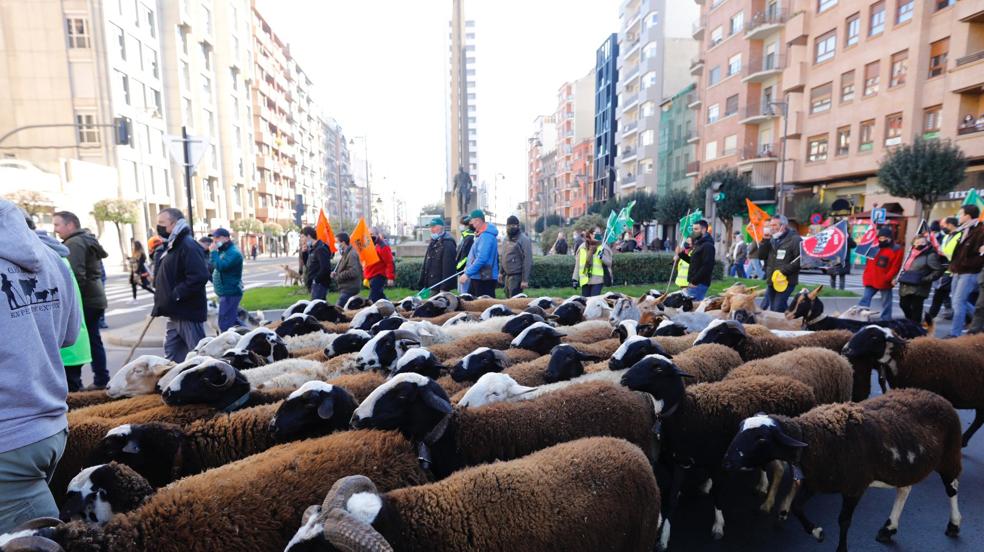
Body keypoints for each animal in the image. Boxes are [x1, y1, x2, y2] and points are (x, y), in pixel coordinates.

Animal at [724, 388, 960, 552]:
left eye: (761, 439)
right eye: (740, 428)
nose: (726, 461)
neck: (812, 438)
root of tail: (936, 396)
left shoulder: (854, 487)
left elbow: (844, 521)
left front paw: (840, 547)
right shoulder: (815, 481)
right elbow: (797, 507)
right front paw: (817, 533)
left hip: (950, 455)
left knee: (952, 489)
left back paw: (954, 525)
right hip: (905, 467)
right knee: (904, 489)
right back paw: (888, 529)